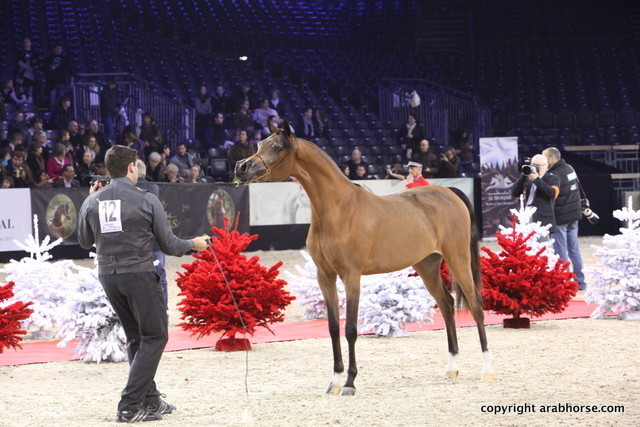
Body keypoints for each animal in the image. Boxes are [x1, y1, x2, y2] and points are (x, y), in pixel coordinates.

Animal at [235, 120, 494, 396]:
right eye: (260, 143)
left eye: (277, 146)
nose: (241, 167)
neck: (338, 210)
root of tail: (449, 192)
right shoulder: (325, 276)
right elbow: (333, 327)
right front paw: (335, 380)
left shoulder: (351, 276)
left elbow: (350, 329)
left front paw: (349, 382)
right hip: (428, 266)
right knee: (446, 306)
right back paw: (452, 367)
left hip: (458, 259)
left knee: (476, 306)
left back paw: (487, 370)